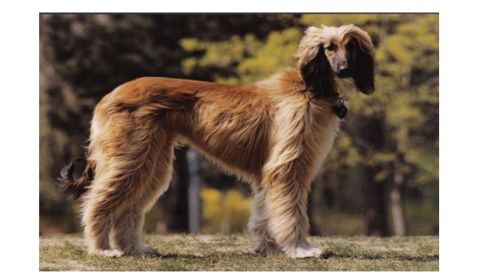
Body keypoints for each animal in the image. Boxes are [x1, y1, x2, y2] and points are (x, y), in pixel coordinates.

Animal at [59, 24, 376, 258]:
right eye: (329, 47)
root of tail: (106, 97)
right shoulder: (287, 165)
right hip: (131, 156)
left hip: (151, 159)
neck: (309, 88)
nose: (343, 69)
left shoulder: (268, 171)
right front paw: (300, 249)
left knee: (128, 207)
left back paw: (134, 248)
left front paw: (268, 247)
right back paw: (101, 249)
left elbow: (264, 211)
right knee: (98, 202)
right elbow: (291, 210)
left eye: (351, 46)